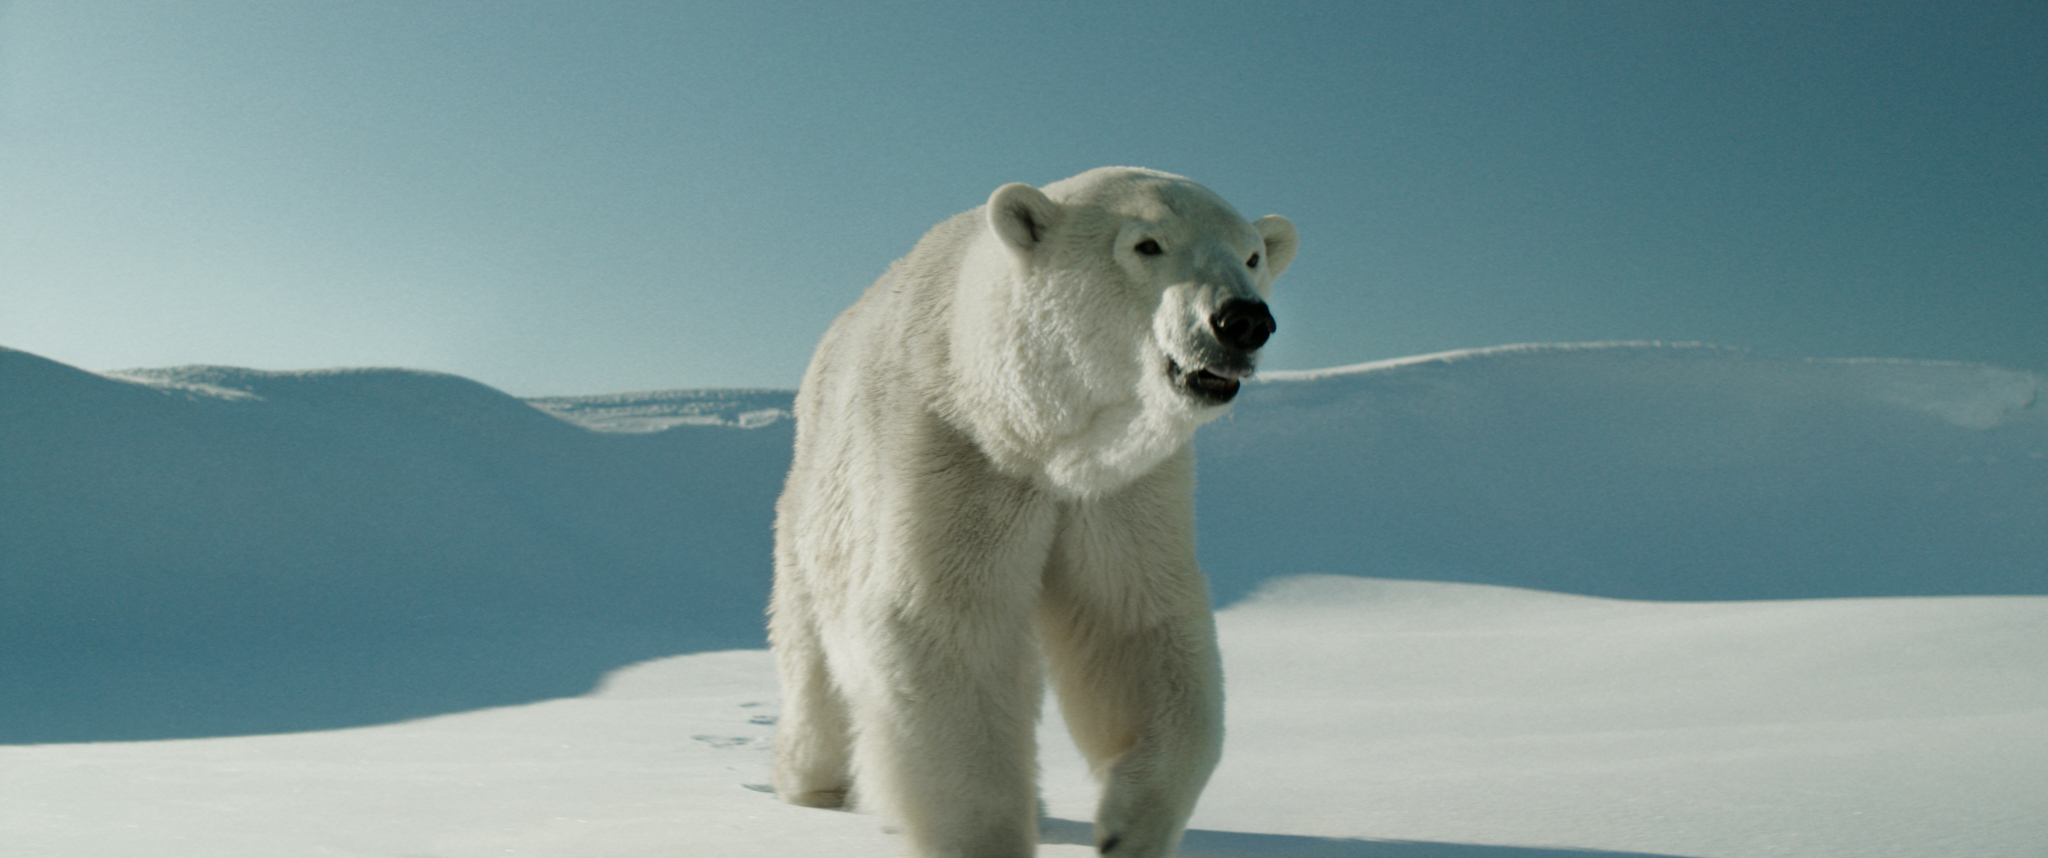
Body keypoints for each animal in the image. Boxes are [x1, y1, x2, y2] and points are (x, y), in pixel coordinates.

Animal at [768, 167, 1296, 857]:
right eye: (1147, 244)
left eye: (1251, 255)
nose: (1242, 320)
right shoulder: (956, 454)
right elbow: (944, 623)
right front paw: (988, 838)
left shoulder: (1119, 488)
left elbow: (1132, 620)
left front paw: (1129, 826)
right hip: (816, 512)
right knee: (815, 658)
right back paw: (815, 784)